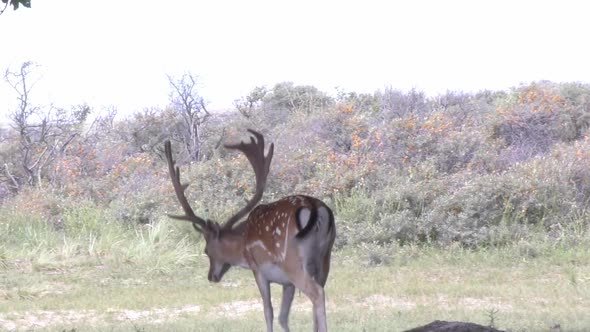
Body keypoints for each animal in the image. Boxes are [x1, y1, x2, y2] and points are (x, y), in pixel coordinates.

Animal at [164, 130, 338, 332]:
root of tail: (316, 209)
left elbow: (268, 311)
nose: (211, 276)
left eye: (206, 251)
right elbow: (283, 317)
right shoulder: (287, 283)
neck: (242, 246)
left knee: (317, 293)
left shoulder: (258, 270)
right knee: (319, 293)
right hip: (324, 259)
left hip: (292, 262)